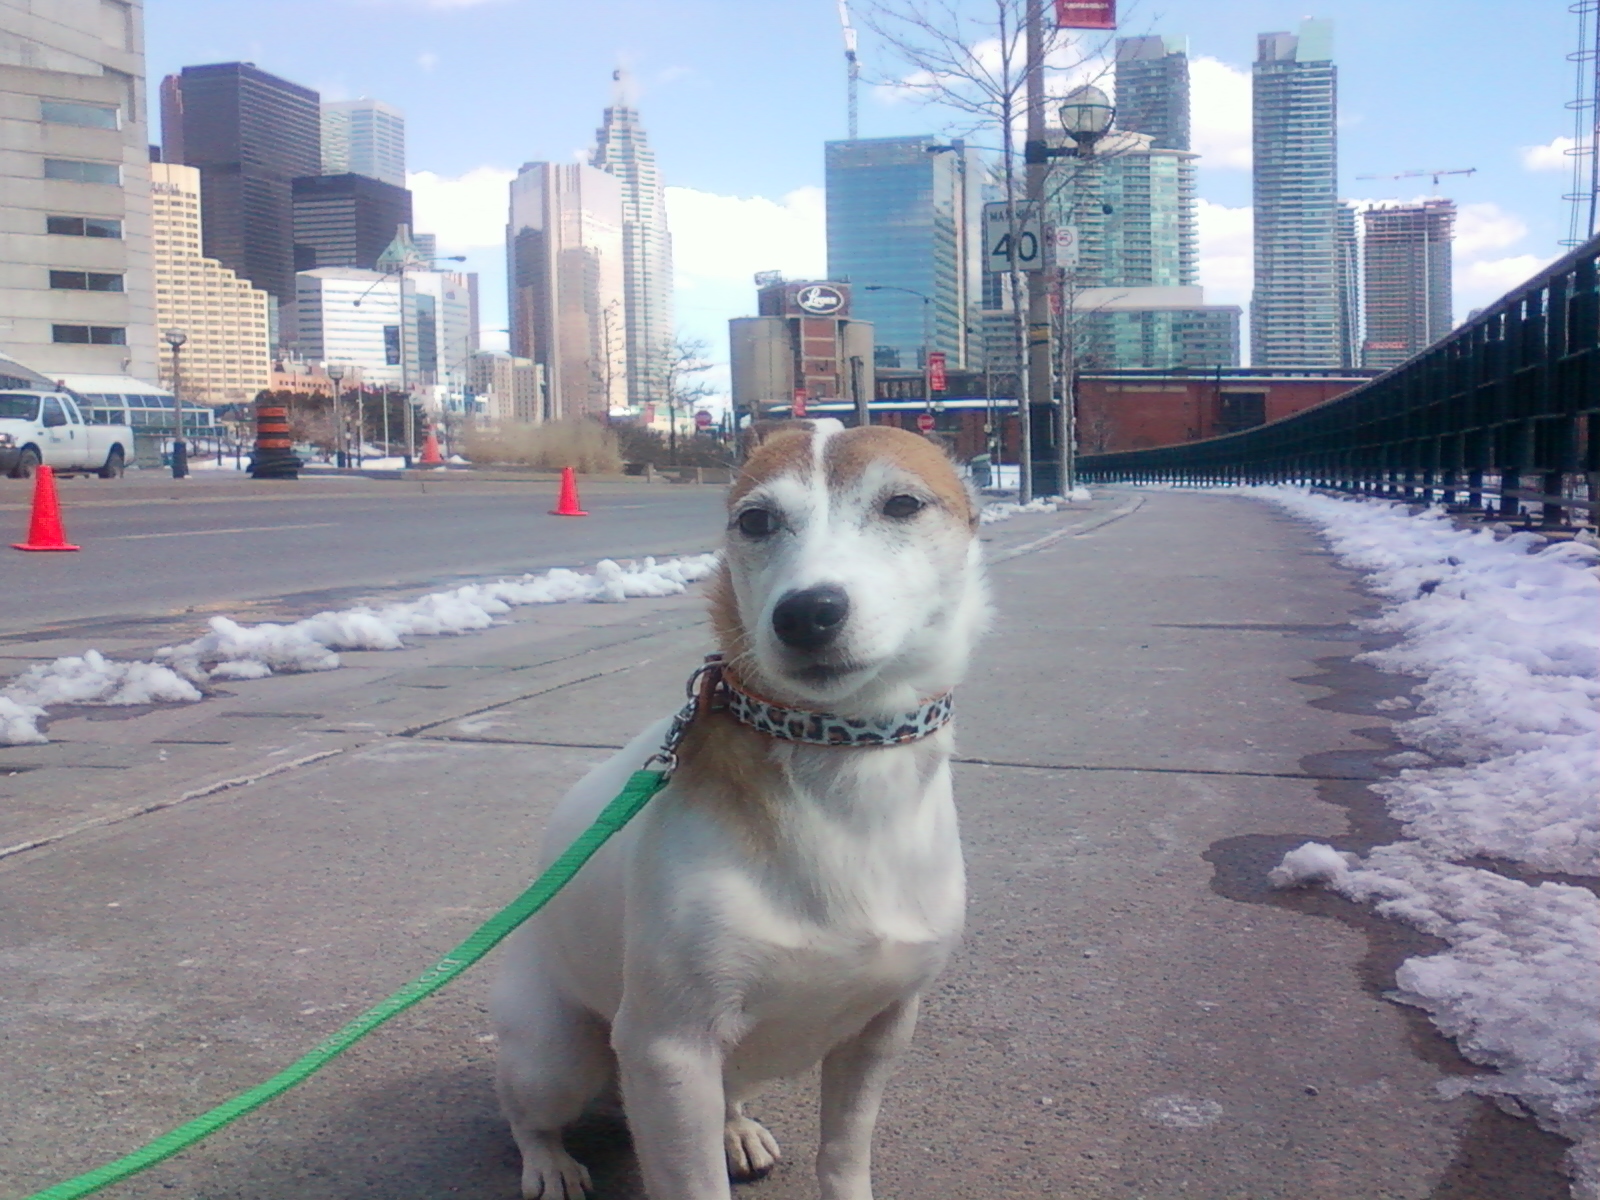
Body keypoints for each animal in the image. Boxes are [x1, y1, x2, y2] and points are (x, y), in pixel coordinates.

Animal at [486, 419, 985, 1196]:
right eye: (755, 521)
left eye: (903, 505)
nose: (806, 612)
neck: (837, 756)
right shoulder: (669, 1047)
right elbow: (694, 1184)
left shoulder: (882, 1029)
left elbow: (844, 1153)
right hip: (557, 1053)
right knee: (528, 1109)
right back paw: (550, 1163)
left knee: (729, 1095)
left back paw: (735, 1130)